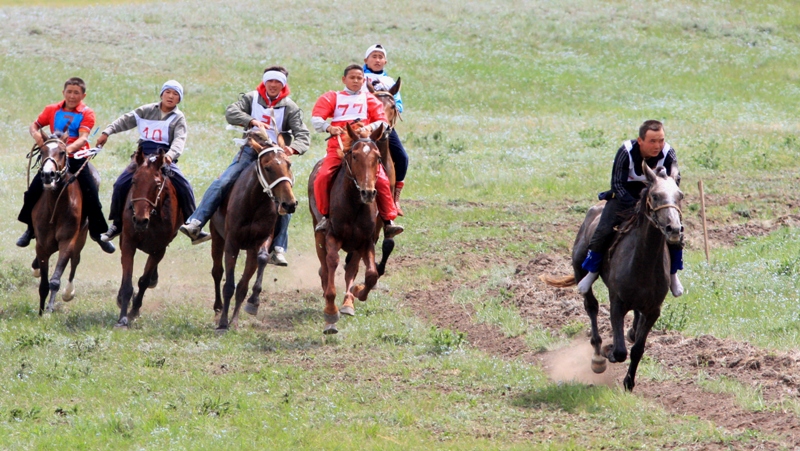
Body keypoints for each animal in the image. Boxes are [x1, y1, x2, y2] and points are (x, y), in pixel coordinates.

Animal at [30, 130, 90, 314]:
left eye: (63, 152)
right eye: (42, 151)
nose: (48, 175)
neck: (55, 209)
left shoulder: (67, 242)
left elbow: (55, 280)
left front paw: (49, 310)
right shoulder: (42, 246)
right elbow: (43, 283)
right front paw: (40, 311)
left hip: (81, 239)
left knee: (75, 261)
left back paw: (68, 292)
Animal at [113, 149, 182, 328]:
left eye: (157, 185)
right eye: (134, 181)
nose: (139, 220)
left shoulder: (159, 249)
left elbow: (143, 281)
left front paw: (134, 311)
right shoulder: (128, 243)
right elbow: (127, 283)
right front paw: (123, 319)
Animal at [209, 127, 296, 332]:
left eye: (288, 164)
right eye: (268, 167)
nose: (289, 204)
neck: (253, 203)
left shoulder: (261, 240)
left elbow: (253, 272)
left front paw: (250, 305)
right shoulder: (231, 243)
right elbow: (229, 285)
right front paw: (223, 323)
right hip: (217, 238)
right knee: (217, 272)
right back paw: (218, 308)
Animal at [306, 123, 394, 336]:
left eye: (377, 157)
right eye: (354, 156)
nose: (368, 192)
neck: (354, 204)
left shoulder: (365, 241)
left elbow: (370, 274)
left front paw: (356, 293)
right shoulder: (332, 237)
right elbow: (331, 263)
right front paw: (330, 313)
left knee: (351, 269)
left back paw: (347, 303)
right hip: (318, 233)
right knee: (324, 266)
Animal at [540, 162, 684, 392]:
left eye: (680, 196)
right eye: (655, 195)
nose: (674, 229)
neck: (643, 263)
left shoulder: (654, 310)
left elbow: (637, 348)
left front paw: (629, 382)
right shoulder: (617, 303)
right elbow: (619, 351)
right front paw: (608, 351)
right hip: (580, 269)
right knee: (591, 306)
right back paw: (598, 356)